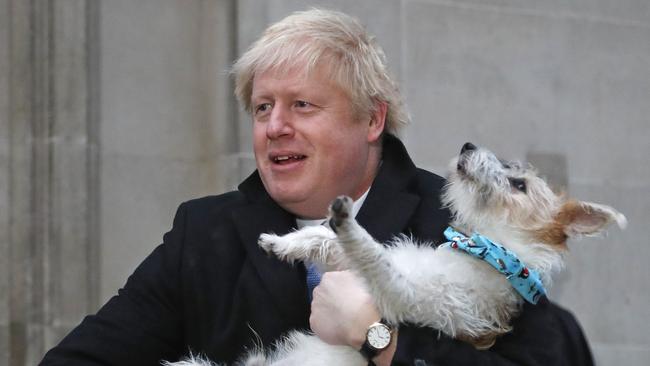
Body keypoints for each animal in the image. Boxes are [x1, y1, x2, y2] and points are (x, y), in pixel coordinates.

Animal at [167, 143, 624, 366]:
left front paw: (344, 221)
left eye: (519, 185)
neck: (485, 251)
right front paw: (286, 243)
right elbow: (329, 242)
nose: (468, 144)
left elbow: (367, 251)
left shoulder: (402, 292)